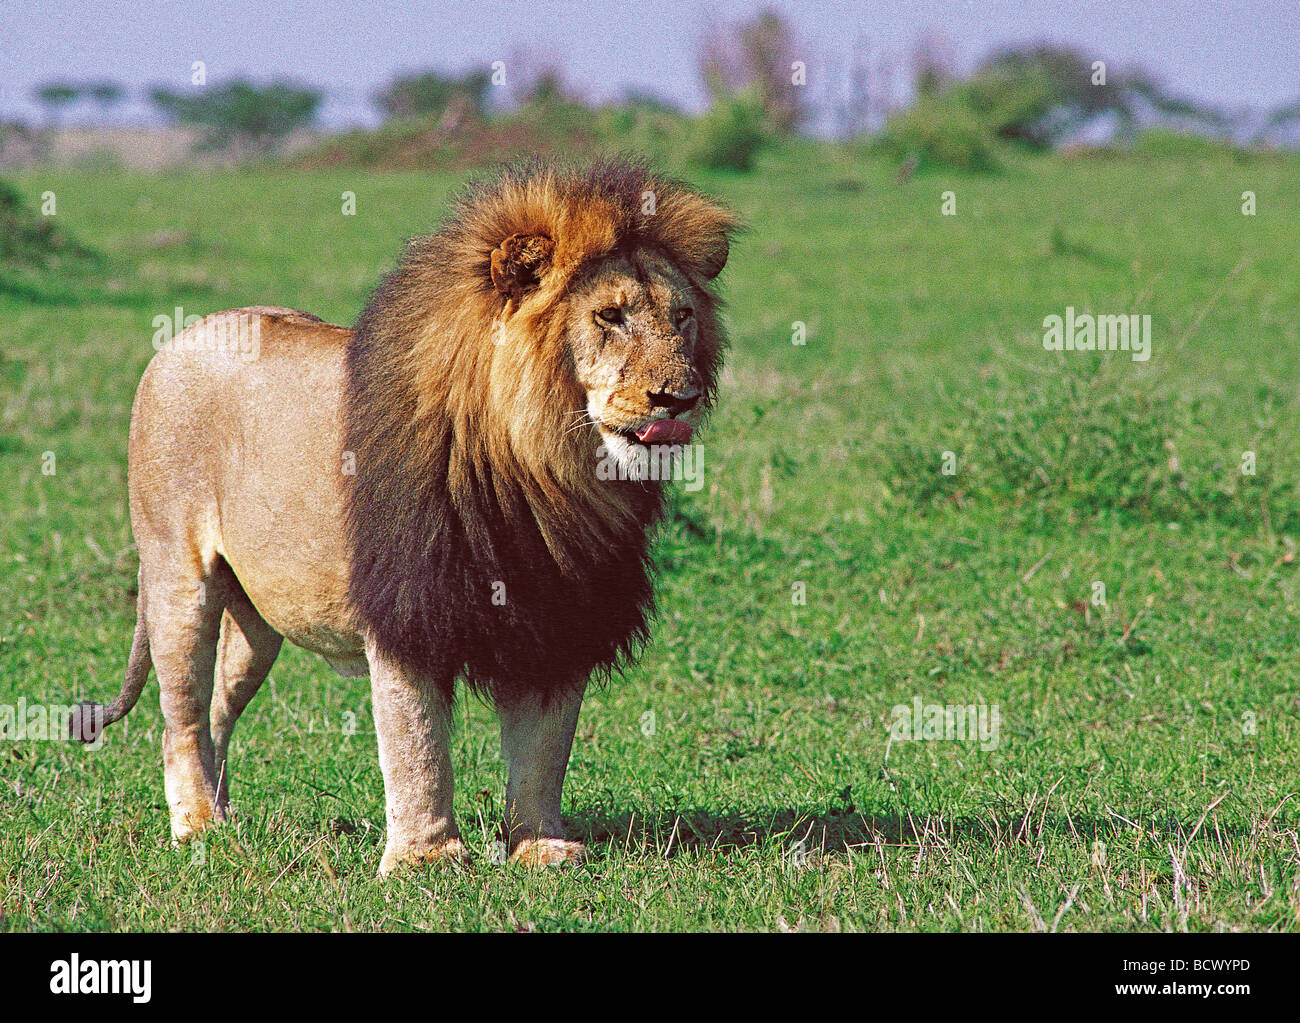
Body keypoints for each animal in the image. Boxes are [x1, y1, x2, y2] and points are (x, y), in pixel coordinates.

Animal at [81, 157, 738, 873]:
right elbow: (416, 743)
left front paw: (541, 846)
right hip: (179, 576)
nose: (679, 399)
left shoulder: (558, 613)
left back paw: (226, 819)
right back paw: (198, 826)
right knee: (181, 713)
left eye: (682, 317)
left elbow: (543, 748)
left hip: (256, 615)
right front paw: (429, 859)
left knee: (219, 710)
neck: (544, 470)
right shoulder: (408, 606)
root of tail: (180, 338)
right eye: (610, 316)